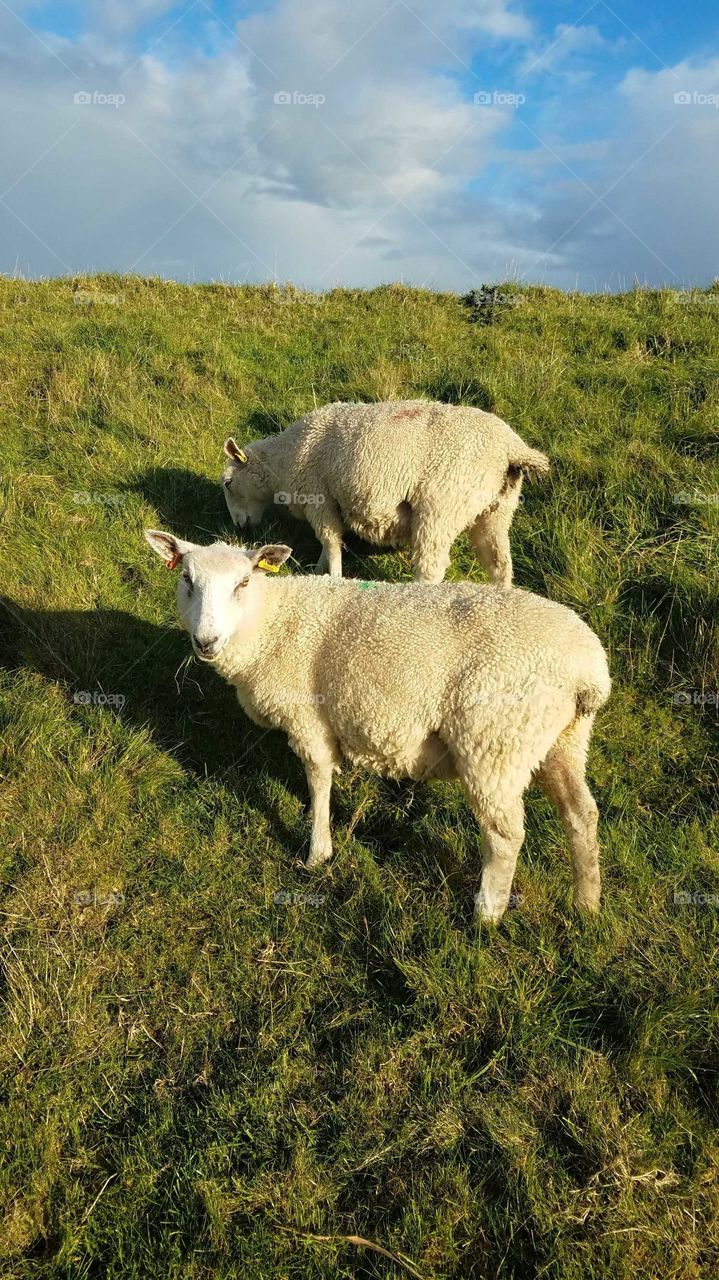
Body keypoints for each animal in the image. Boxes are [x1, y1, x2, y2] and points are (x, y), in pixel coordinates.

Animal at [142, 524, 606, 926]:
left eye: (242, 584)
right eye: (186, 578)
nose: (205, 642)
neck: (272, 626)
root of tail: (589, 670)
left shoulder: (308, 720)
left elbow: (318, 780)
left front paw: (317, 852)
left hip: (495, 741)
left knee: (505, 834)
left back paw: (486, 916)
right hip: (560, 739)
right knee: (581, 814)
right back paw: (586, 903)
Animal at [221, 396, 545, 586]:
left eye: (227, 483)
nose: (239, 526)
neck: (286, 458)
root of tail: (511, 449)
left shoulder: (319, 497)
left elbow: (331, 541)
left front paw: (332, 576)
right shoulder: (329, 503)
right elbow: (328, 544)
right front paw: (317, 567)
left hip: (441, 507)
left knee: (431, 567)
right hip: (495, 511)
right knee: (499, 564)